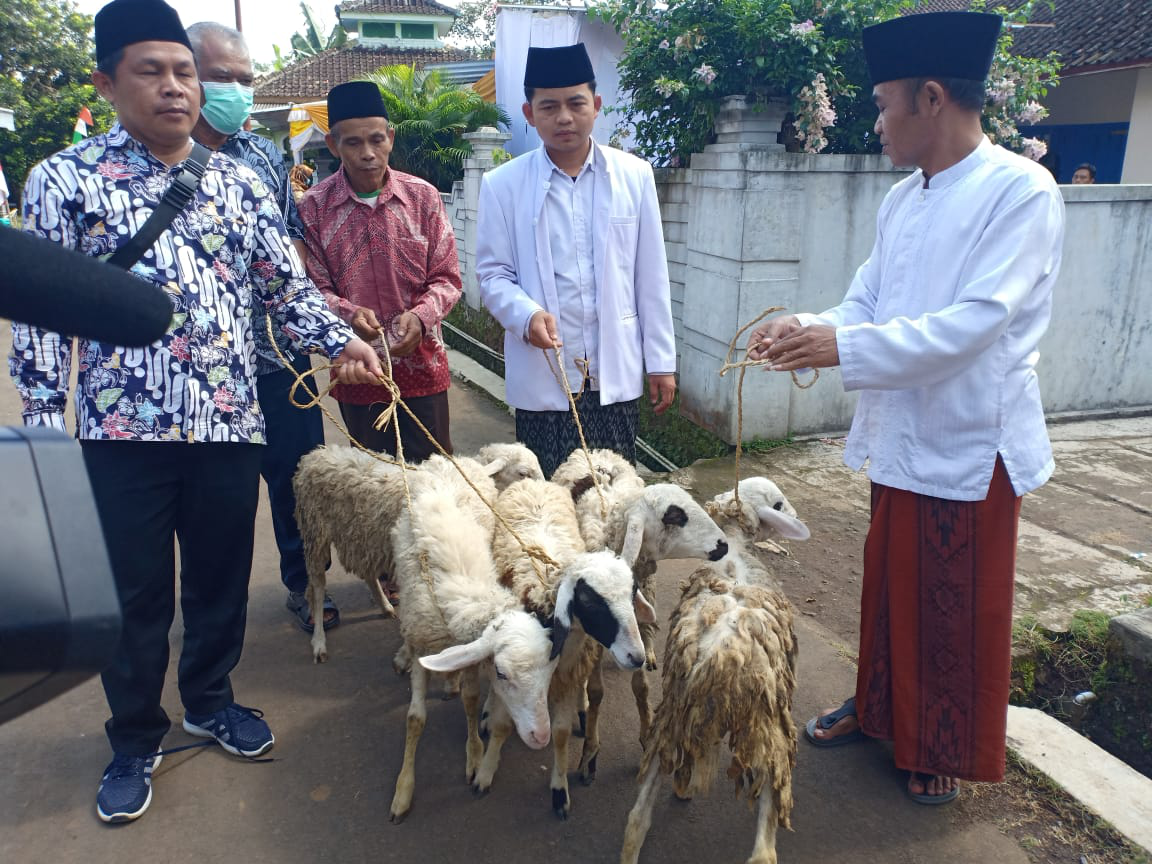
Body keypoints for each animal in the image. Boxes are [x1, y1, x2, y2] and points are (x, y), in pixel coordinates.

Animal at [387, 463, 562, 820]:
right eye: (502, 673)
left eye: (550, 670)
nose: (541, 737)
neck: (467, 599)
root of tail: (452, 461)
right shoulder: (423, 643)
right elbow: (415, 719)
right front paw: (403, 790)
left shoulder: (469, 650)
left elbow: (469, 700)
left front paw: (474, 756)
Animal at [479, 481, 658, 820]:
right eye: (589, 602)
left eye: (632, 593)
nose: (637, 657)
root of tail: (534, 482)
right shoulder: (511, 671)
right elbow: (501, 723)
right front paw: (485, 772)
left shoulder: (567, 674)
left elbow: (560, 734)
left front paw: (559, 790)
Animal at [622, 476, 811, 864]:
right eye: (779, 504)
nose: (798, 516)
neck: (736, 543)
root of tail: (722, 653)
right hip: (767, 727)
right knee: (763, 850)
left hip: (677, 709)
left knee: (640, 813)